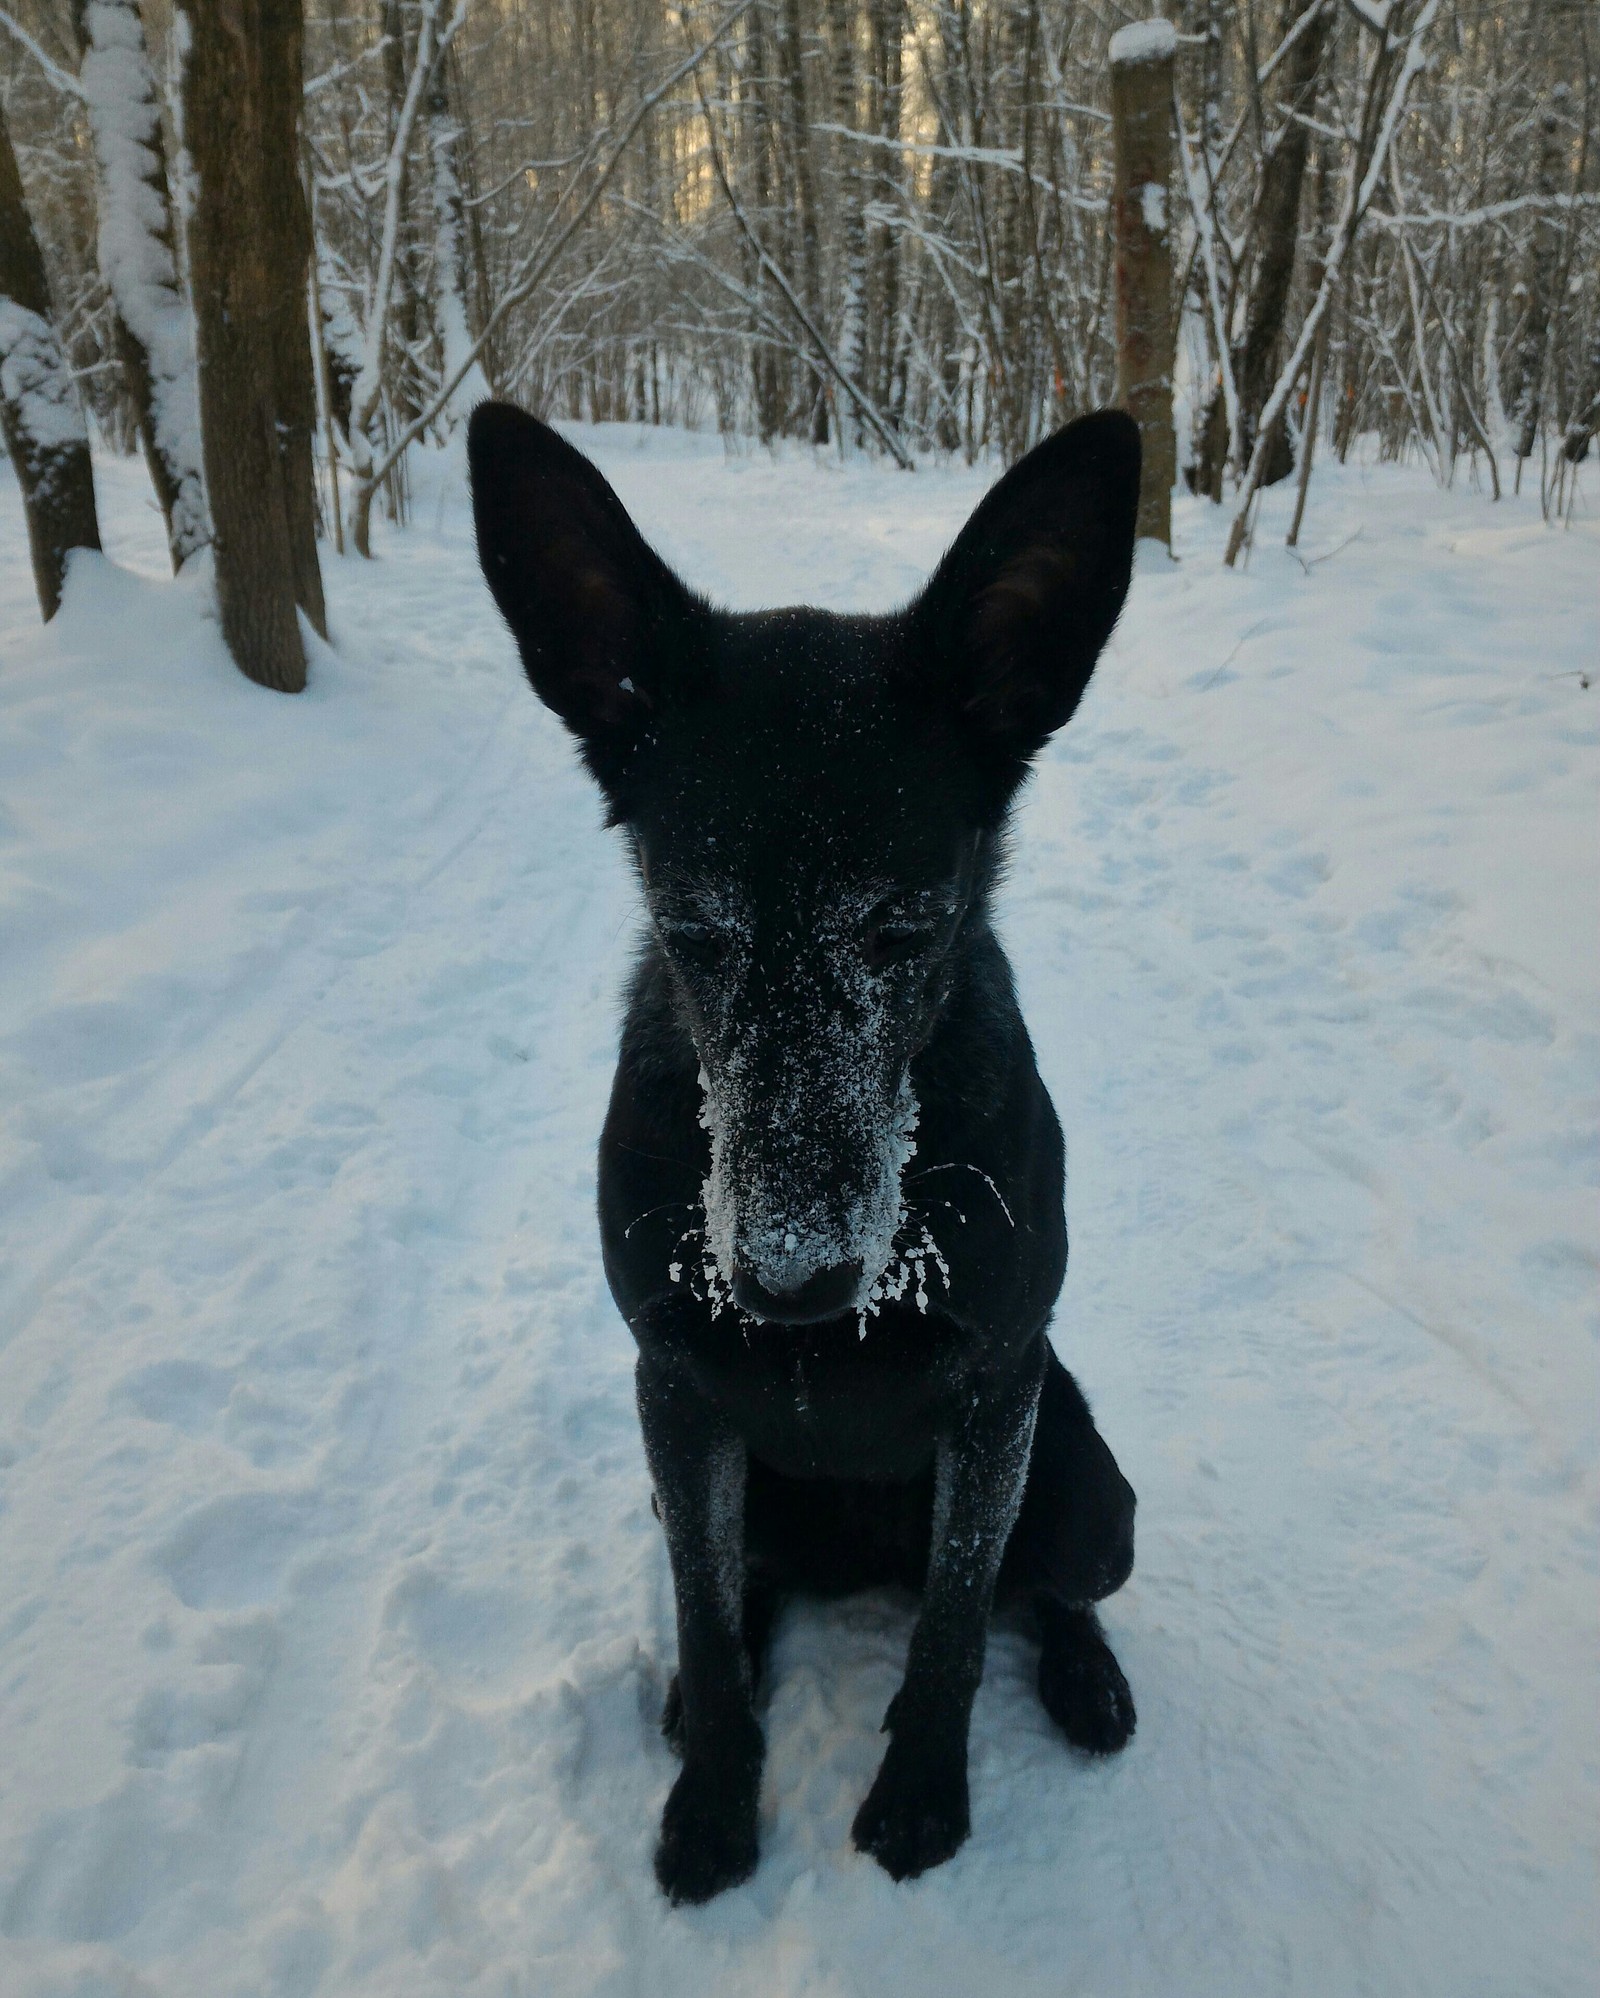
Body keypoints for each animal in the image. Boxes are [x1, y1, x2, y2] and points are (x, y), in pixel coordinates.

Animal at [467, 405, 1142, 1902]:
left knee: (1042, 1594)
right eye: (693, 932)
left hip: (1084, 1486)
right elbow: (707, 1624)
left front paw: (922, 1794)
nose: (791, 1282)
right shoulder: (675, 1388)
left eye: (905, 928)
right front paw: (714, 1805)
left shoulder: (995, 1393)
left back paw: (1085, 1678)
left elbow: (954, 1627)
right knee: (735, 1592)